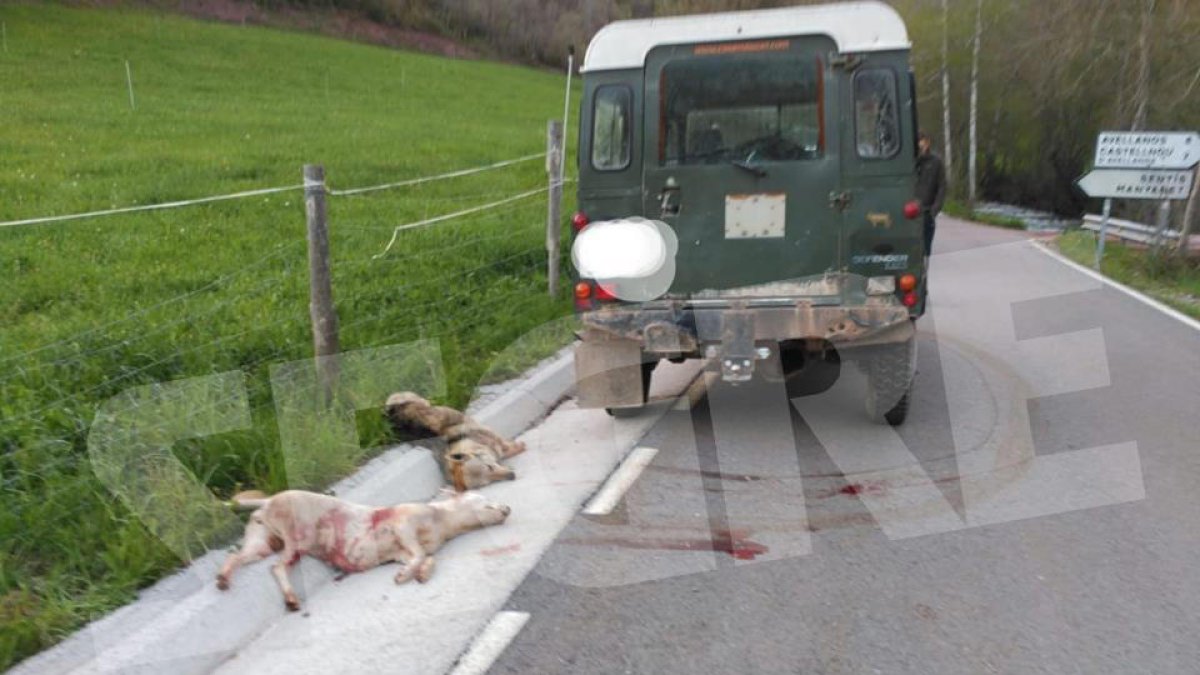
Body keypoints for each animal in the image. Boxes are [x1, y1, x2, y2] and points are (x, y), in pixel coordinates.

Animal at [218, 485, 508, 607]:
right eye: (487, 502)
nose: (507, 508)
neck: (443, 522)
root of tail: (268, 501)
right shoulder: (403, 525)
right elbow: (418, 553)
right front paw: (406, 576)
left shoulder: (402, 552)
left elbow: (427, 558)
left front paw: (422, 573)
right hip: (296, 538)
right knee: (278, 567)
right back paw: (290, 598)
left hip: (263, 540)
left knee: (239, 558)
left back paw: (223, 579)